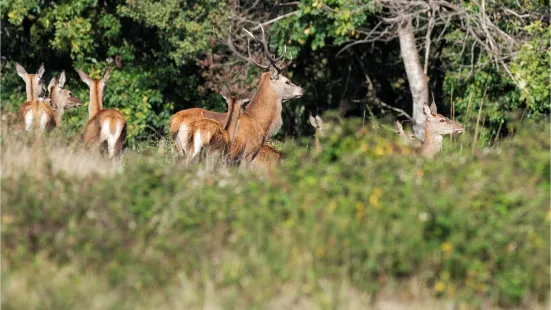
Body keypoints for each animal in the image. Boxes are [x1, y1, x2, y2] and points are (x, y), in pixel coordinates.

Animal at [170, 25, 304, 165]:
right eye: (287, 81)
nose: (301, 90)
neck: (261, 125)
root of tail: (175, 122)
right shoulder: (248, 154)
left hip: (179, 149)